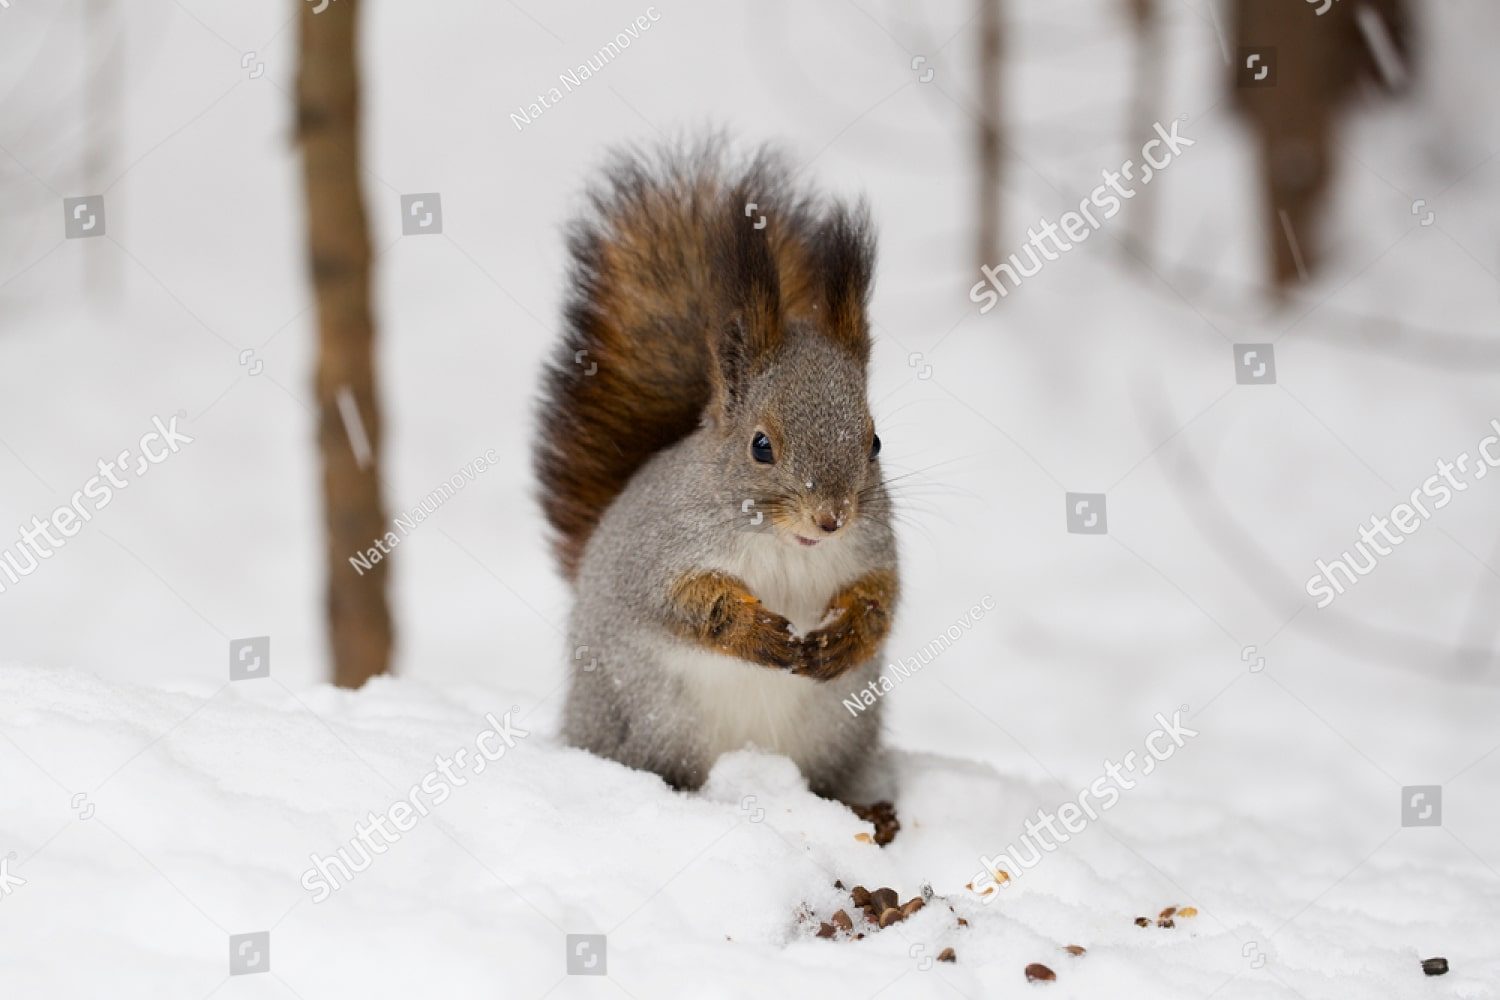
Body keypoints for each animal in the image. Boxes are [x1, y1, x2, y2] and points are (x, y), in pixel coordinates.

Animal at [534, 141, 899, 802]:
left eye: (875, 442)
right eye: (761, 446)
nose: (831, 518)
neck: (785, 546)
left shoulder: (874, 550)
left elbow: (883, 599)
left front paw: (846, 636)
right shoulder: (657, 552)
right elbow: (681, 603)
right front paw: (753, 631)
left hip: (836, 735)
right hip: (650, 720)